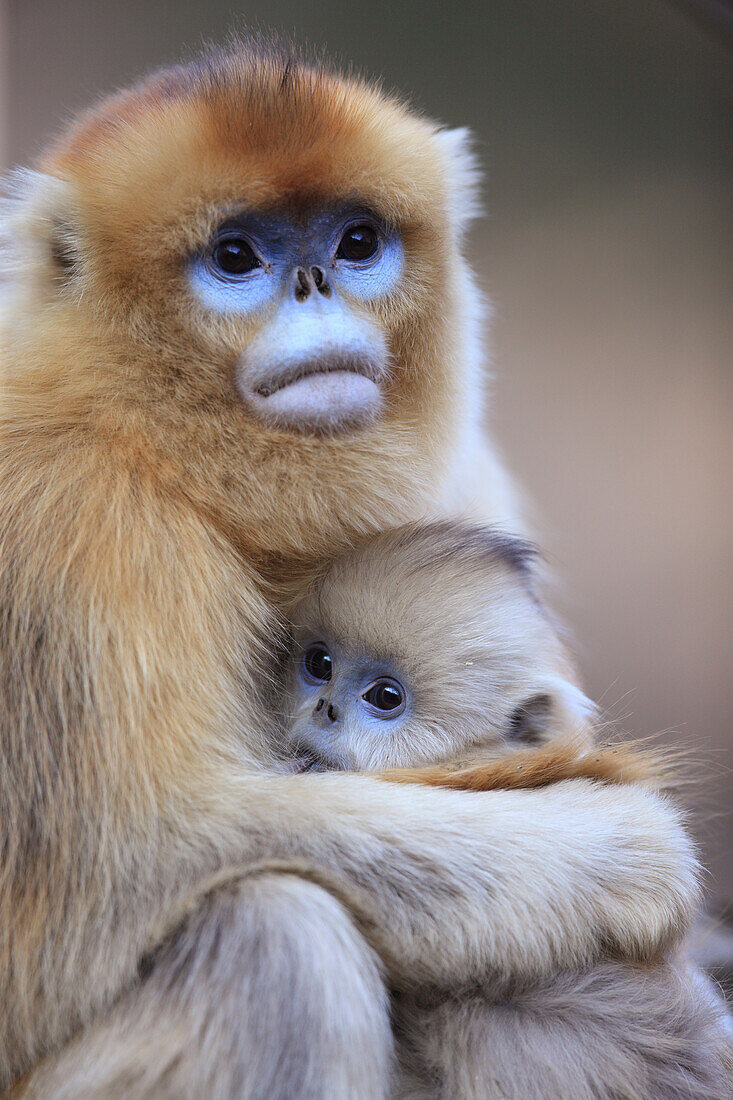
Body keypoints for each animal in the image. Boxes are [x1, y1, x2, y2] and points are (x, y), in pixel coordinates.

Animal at [0, 38, 695, 1095]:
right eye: (236, 257)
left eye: (357, 242)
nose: (317, 285)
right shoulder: (73, 511)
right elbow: (132, 866)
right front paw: (619, 850)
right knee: (279, 935)